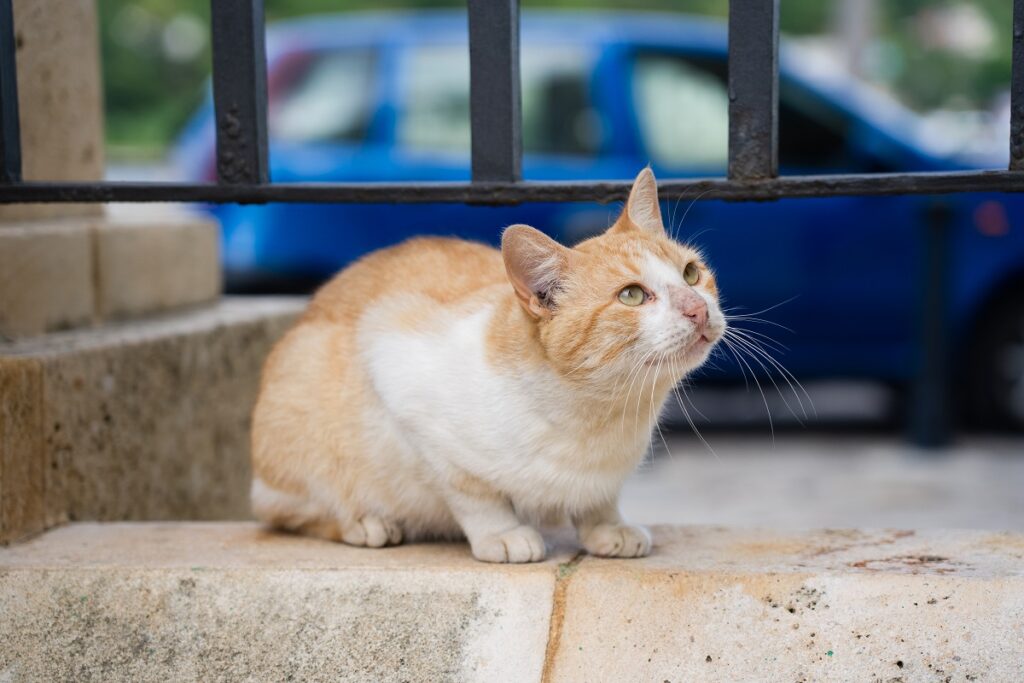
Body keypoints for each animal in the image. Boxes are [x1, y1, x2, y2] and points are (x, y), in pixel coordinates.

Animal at [250, 167, 724, 565]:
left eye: (691, 273)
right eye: (632, 295)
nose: (698, 309)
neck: (600, 415)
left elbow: (599, 499)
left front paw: (607, 527)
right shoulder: (396, 369)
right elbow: (473, 494)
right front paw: (503, 534)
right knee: (285, 513)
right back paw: (365, 523)